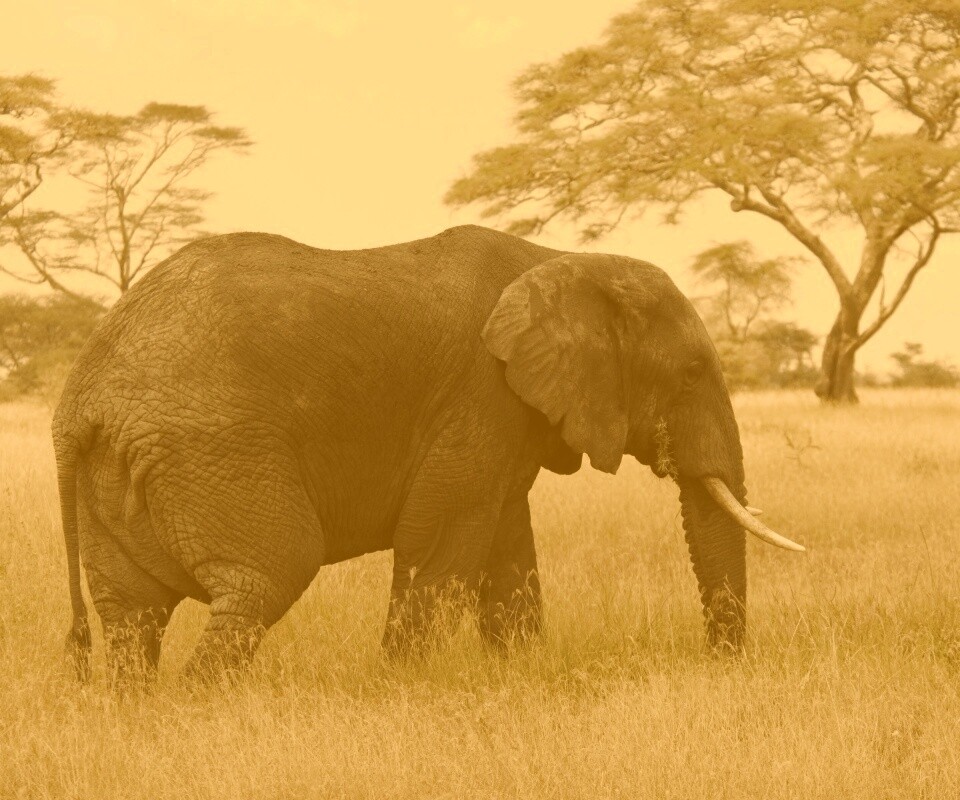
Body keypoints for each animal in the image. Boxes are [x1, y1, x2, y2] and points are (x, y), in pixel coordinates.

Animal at [53, 224, 803, 680]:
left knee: (132, 615)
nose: (720, 665)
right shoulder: (479, 396)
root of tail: (79, 396)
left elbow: (505, 548)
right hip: (211, 449)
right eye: (691, 373)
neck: (558, 260)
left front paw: (519, 677)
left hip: (121, 470)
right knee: (268, 573)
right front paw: (398, 687)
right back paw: (202, 707)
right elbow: (441, 542)